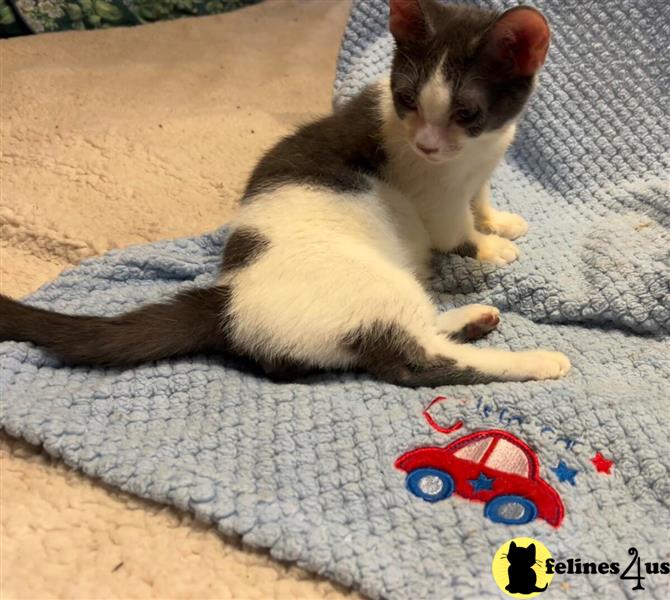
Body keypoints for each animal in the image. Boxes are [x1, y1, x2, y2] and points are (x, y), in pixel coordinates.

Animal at [0, 1, 572, 390]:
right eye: (406, 99)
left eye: (466, 113)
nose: (427, 145)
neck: (473, 153)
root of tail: (232, 300)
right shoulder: (433, 194)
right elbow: (455, 230)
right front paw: (490, 248)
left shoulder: (480, 164)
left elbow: (480, 198)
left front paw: (498, 220)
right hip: (370, 282)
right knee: (417, 359)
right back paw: (534, 360)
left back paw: (472, 317)